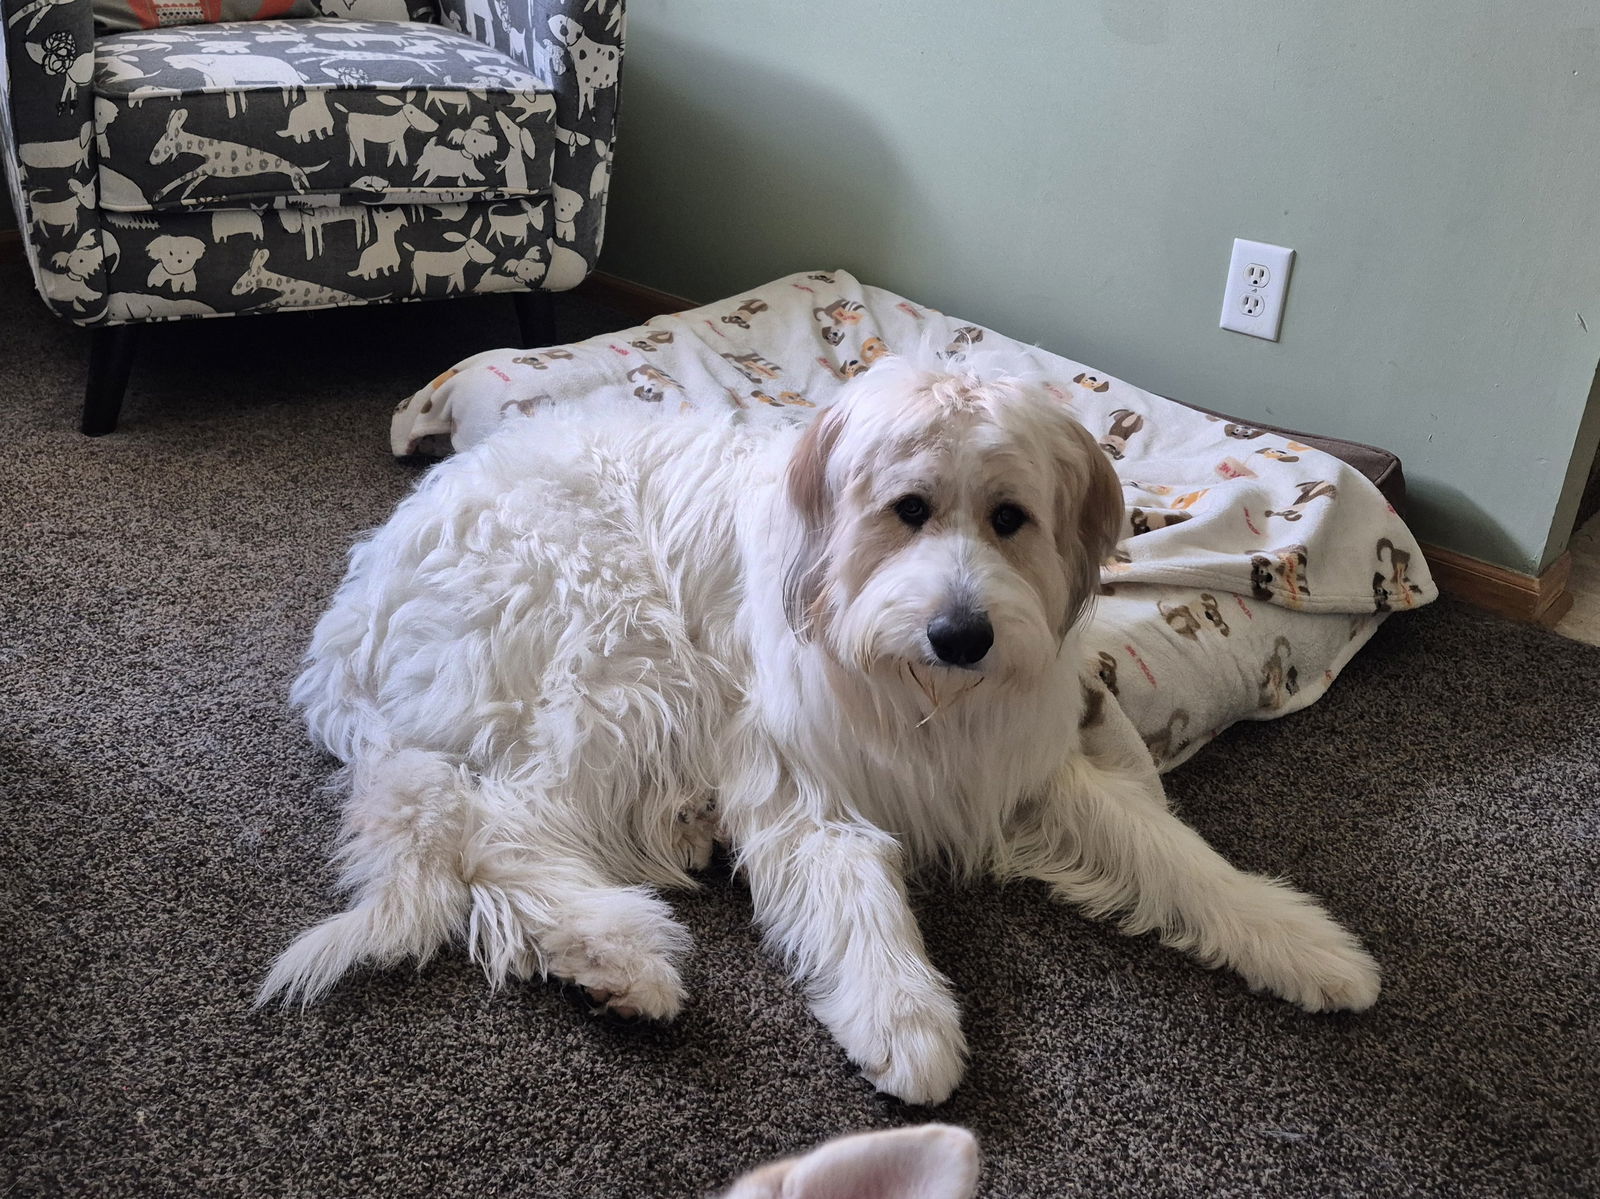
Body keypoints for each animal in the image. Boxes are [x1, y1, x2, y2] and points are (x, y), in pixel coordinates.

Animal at [262, 348, 1376, 1101]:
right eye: (909, 508)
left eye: (1009, 518)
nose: (961, 634)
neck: (913, 686)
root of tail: (348, 621)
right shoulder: (801, 776)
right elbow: (852, 886)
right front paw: (905, 1019)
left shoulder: (1020, 768)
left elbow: (1170, 853)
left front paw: (1302, 941)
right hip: (618, 653)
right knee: (502, 831)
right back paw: (617, 957)